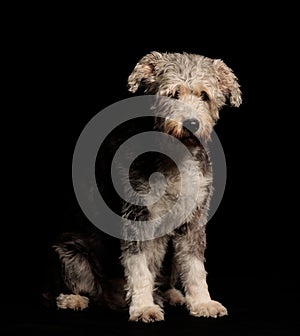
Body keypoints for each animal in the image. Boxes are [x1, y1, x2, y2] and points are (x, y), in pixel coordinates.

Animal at [44, 51, 241, 322]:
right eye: (172, 94)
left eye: (204, 95)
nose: (191, 123)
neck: (176, 156)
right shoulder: (136, 217)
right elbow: (139, 267)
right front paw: (144, 307)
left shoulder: (193, 219)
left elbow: (195, 267)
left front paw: (202, 302)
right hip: (69, 256)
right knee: (66, 286)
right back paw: (72, 298)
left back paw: (170, 294)